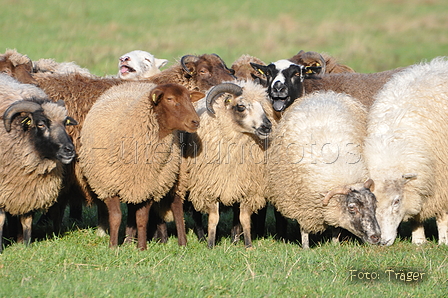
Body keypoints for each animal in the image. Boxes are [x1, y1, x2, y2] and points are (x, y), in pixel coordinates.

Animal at [0, 73, 76, 250]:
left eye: (65, 123)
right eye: (41, 124)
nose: (69, 150)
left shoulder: (30, 188)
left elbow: (27, 220)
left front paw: (26, 246)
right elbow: (0, 220)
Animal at [79, 81, 204, 249]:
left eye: (189, 98)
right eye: (170, 99)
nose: (195, 121)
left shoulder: (150, 186)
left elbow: (142, 218)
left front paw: (141, 248)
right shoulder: (108, 185)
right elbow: (116, 216)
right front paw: (113, 247)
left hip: (178, 176)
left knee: (177, 208)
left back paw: (182, 243)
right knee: (132, 210)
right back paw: (127, 241)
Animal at [179, 80, 272, 248]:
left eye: (262, 106)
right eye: (241, 106)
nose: (267, 127)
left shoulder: (247, 187)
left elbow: (244, 218)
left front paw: (248, 245)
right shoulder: (210, 187)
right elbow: (213, 219)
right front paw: (210, 244)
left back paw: (234, 238)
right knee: (195, 213)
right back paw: (201, 237)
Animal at [266, 91, 382, 249]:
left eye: (374, 205)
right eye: (352, 208)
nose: (376, 237)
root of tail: (324, 94)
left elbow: (336, 227)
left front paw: (335, 244)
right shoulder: (303, 205)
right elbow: (304, 230)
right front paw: (306, 248)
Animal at [364, 57, 448, 246]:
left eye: (396, 201)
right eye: (372, 202)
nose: (382, 241)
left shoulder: (441, 182)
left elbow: (442, 214)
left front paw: (444, 241)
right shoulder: (417, 187)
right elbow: (416, 214)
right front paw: (418, 241)